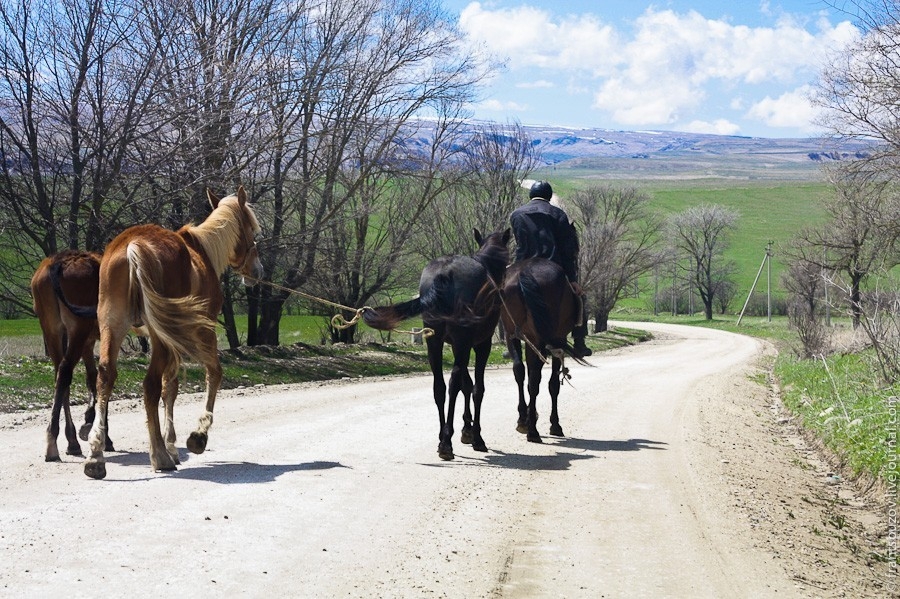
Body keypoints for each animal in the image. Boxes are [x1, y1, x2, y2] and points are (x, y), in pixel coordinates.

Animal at [31, 251, 116, 462]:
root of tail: (57, 262)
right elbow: (103, 378)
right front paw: (102, 432)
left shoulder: (89, 342)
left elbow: (92, 378)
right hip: (78, 328)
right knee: (65, 371)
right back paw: (53, 441)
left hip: (51, 329)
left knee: (60, 376)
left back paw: (71, 441)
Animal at [81, 185, 260, 480]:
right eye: (252, 230)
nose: (257, 270)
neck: (202, 253)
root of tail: (134, 246)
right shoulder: (202, 332)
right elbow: (211, 375)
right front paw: (195, 437)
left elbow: (171, 388)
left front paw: (173, 444)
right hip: (160, 338)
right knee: (150, 385)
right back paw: (159, 456)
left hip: (112, 327)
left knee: (106, 376)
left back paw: (96, 457)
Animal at [362, 229, 510, 460]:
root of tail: (444, 274)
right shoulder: (479, 344)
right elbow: (476, 388)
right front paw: (476, 436)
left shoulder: (457, 345)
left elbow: (467, 384)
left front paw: (466, 430)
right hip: (462, 342)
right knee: (453, 384)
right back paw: (447, 442)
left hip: (435, 341)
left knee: (439, 387)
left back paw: (443, 438)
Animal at [496, 258, 588, 446]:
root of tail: (526, 271)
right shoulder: (555, 341)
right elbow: (553, 384)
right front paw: (554, 424)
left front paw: (527, 417)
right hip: (542, 339)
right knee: (535, 379)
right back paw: (532, 429)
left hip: (514, 335)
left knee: (522, 372)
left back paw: (527, 424)